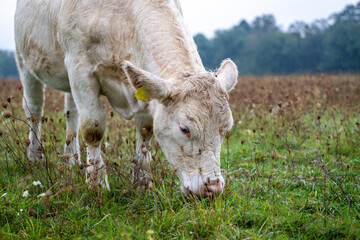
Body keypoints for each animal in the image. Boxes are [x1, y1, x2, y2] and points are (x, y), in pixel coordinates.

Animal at [14, 0, 239, 197]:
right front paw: (96, 184)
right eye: (184, 128)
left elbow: (145, 131)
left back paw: (71, 160)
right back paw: (34, 156)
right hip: (24, 61)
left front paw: (142, 183)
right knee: (34, 109)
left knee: (72, 113)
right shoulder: (79, 66)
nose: (212, 188)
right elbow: (93, 128)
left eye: (226, 129)